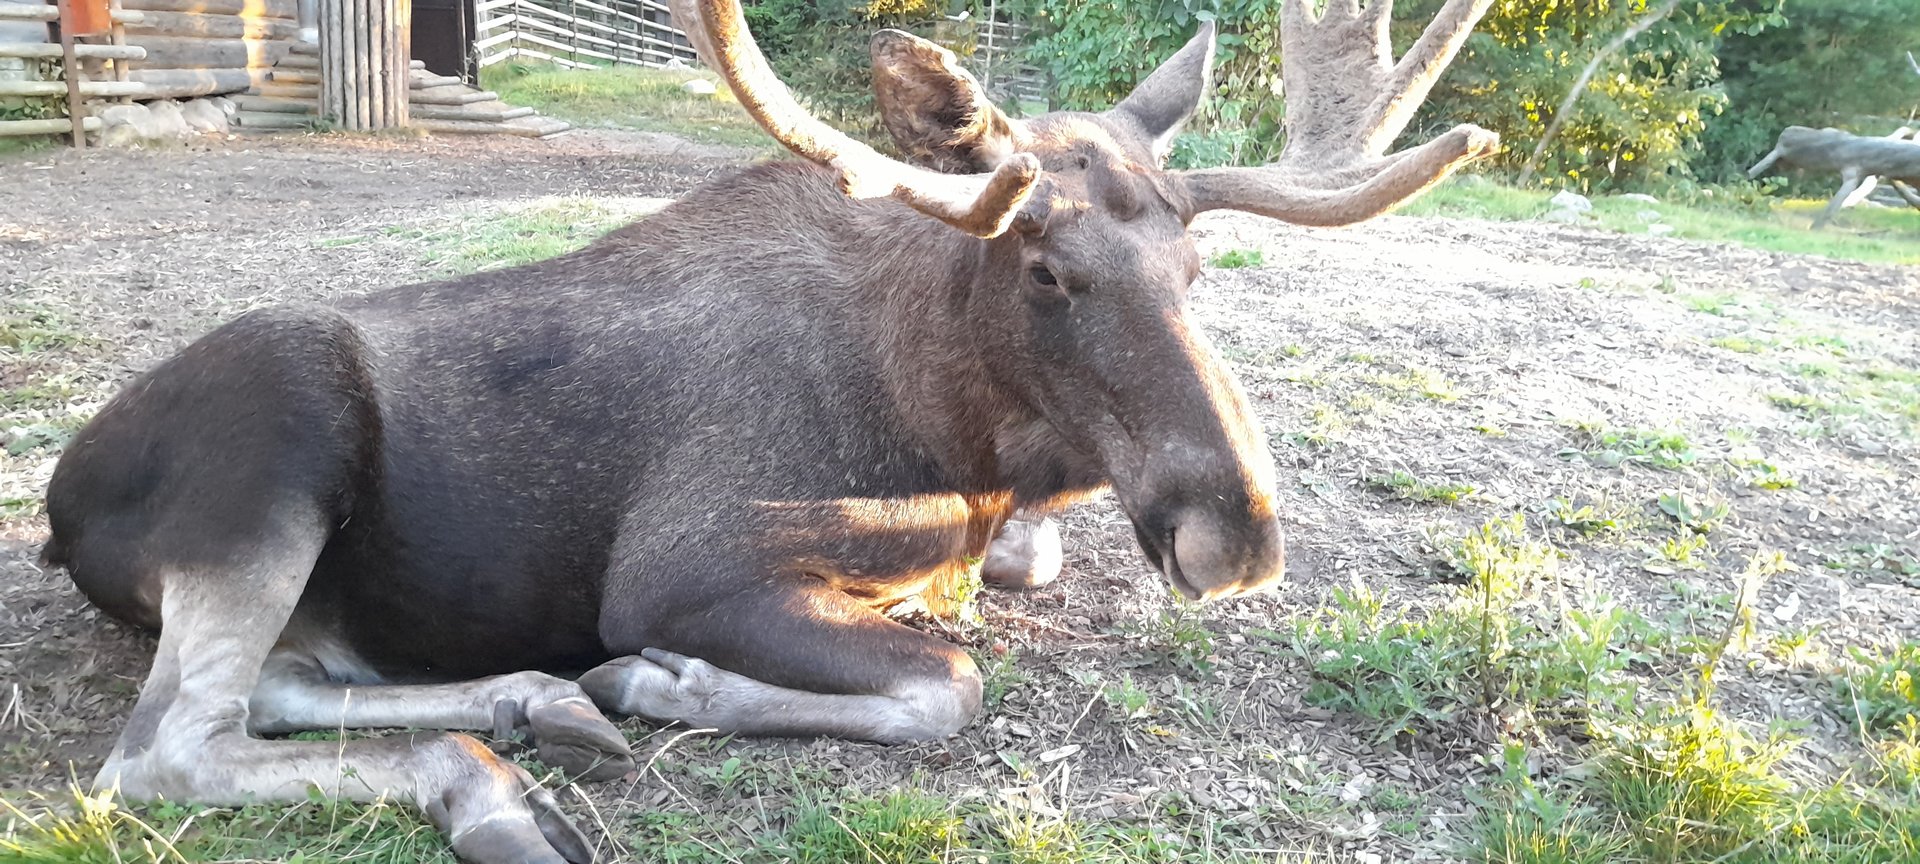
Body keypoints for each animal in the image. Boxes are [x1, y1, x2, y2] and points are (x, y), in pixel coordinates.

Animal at [37, 0, 1498, 861]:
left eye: (1198, 268)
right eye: (1045, 271)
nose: (1234, 534)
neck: (947, 434)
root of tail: (55, 509)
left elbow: (1010, 580)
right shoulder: (681, 569)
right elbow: (947, 682)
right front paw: (665, 681)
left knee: (282, 685)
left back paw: (531, 704)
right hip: (277, 439)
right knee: (164, 750)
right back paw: (496, 785)